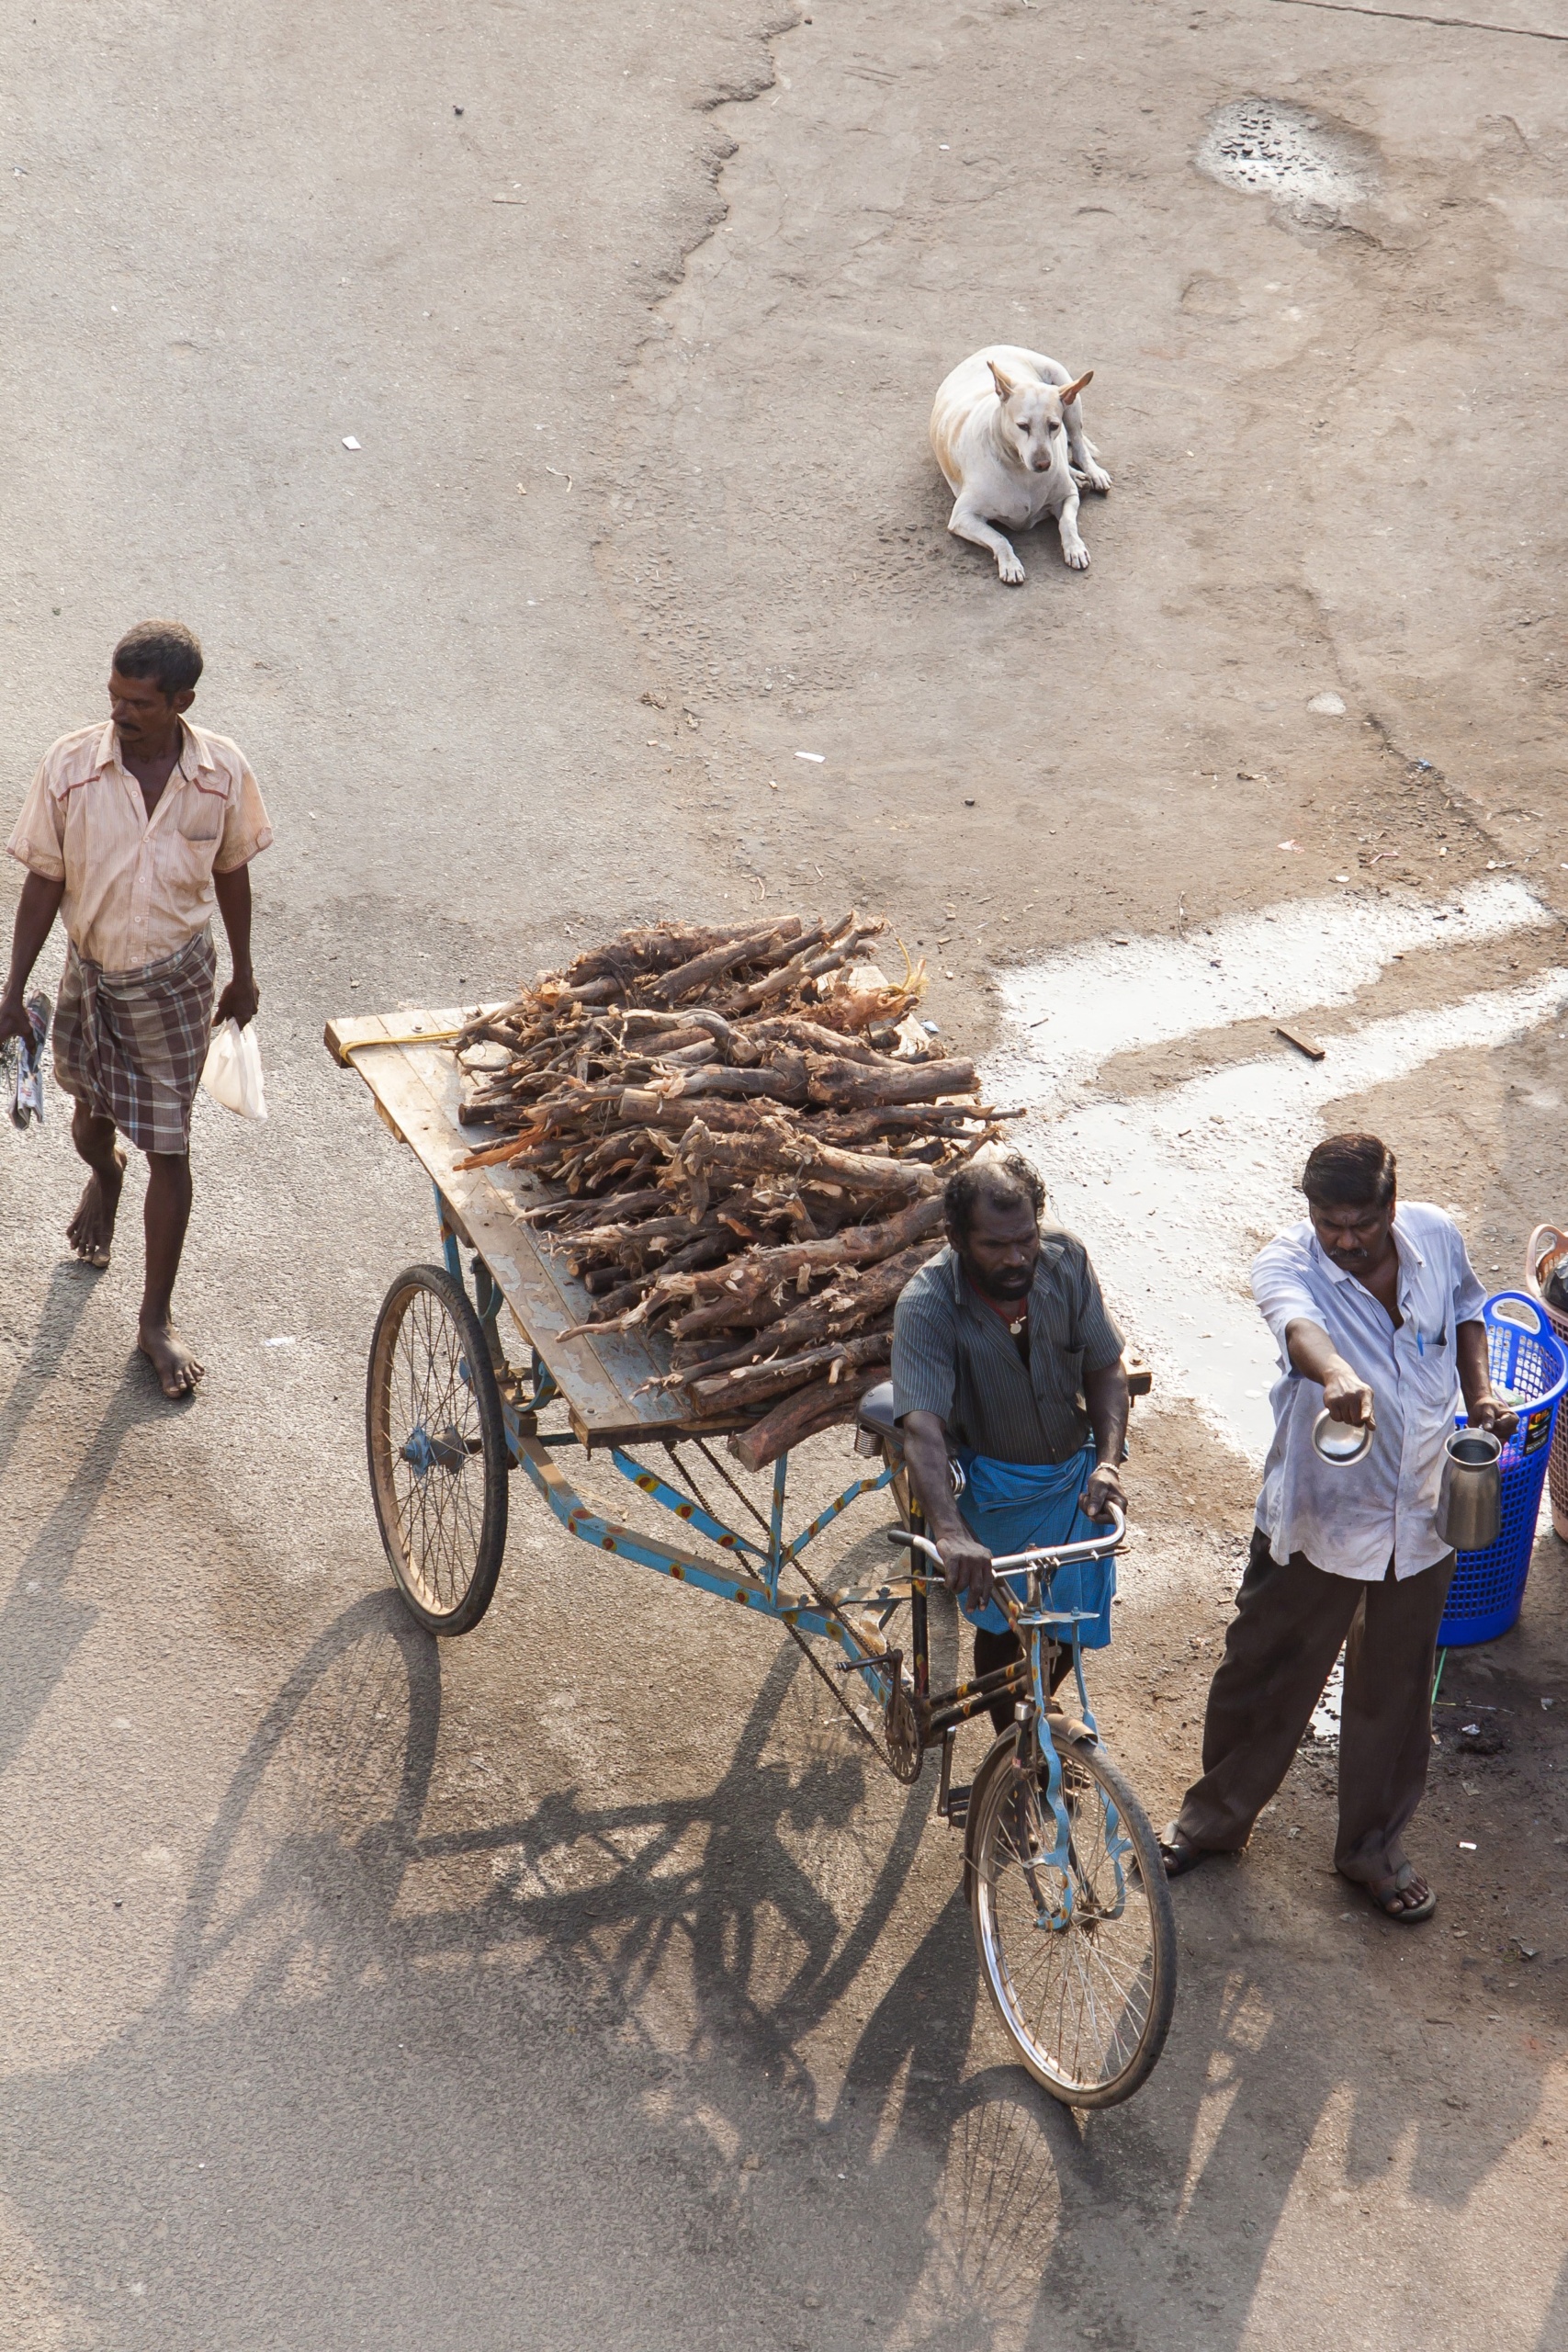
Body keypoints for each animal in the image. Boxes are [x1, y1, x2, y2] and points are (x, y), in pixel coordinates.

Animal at [931, 347, 1114, 588]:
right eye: (1022, 426)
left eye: (1053, 425)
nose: (1043, 463)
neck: (1020, 470)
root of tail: (992, 348)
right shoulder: (963, 517)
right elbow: (1000, 538)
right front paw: (1011, 564)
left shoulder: (1068, 497)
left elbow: (1067, 522)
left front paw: (1074, 548)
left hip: (1069, 397)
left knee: (1077, 442)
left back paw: (1092, 473)